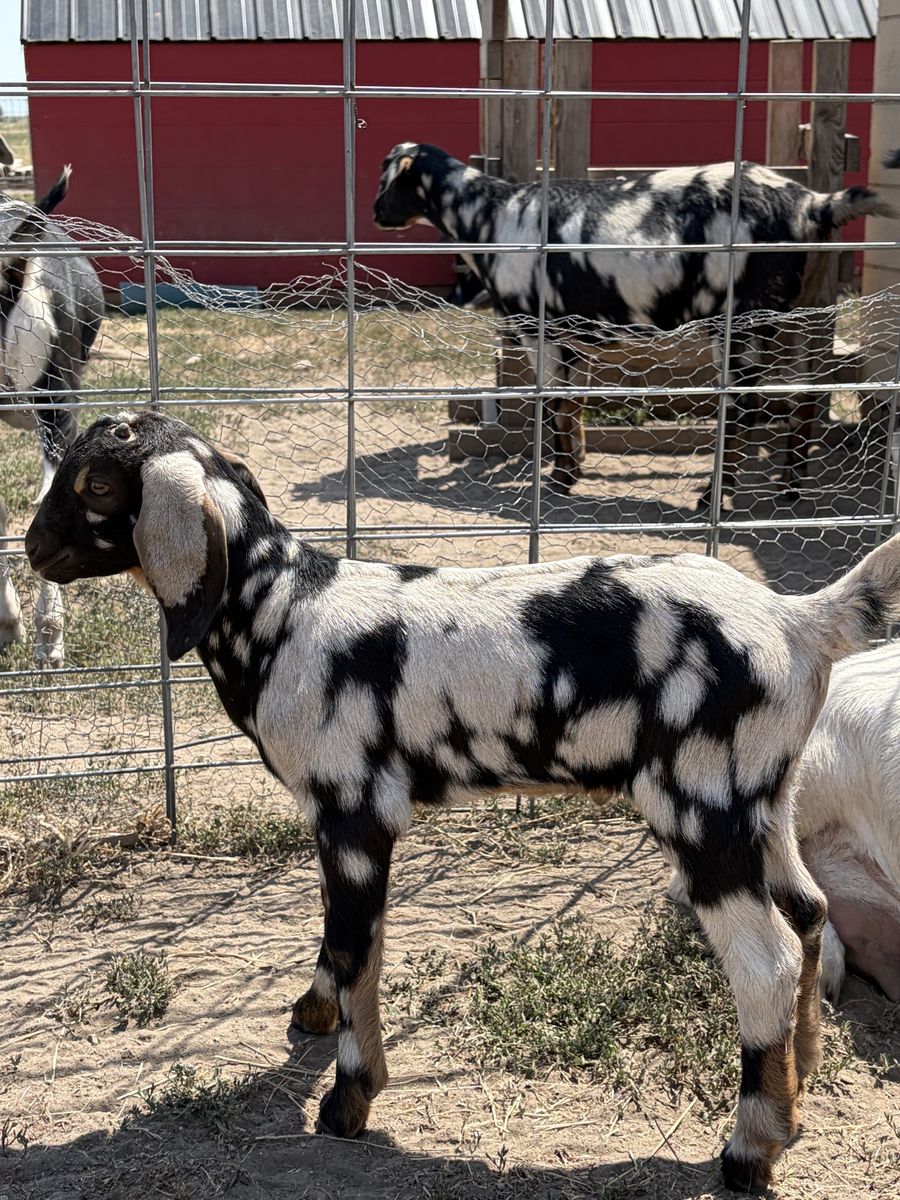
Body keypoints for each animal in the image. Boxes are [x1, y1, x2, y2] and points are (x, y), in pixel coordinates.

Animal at [26, 408, 900, 1192]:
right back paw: (800, 1081)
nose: (31, 548)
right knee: (809, 912)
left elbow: (358, 951)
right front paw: (315, 1013)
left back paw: (750, 1150)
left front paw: (348, 1100)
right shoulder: (337, 824)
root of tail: (798, 619)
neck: (284, 610)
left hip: (702, 805)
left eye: (97, 482)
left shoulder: (354, 810)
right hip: (766, 801)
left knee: (766, 961)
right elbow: (345, 940)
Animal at [374, 143, 892, 501]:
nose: (376, 213)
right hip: (803, 315)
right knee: (806, 395)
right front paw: (572, 470)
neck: (490, 216)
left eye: (389, 180)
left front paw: (557, 480)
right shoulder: (572, 336)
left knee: (745, 407)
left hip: (743, 323)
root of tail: (813, 204)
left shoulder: (539, 330)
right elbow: (572, 405)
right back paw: (789, 487)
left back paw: (715, 497)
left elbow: (551, 404)